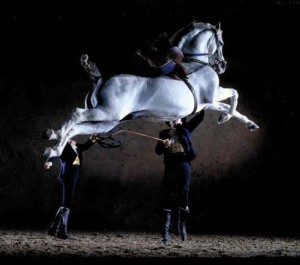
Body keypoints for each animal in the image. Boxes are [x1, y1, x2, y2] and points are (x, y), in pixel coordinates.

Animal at [43, 21, 258, 159]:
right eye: (221, 42)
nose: (222, 65)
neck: (195, 62)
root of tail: (100, 78)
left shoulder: (206, 103)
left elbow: (228, 106)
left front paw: (245, 123)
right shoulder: (213, 95)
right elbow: (234, 94)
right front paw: (226, 117)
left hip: (106, 122)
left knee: (77, 128)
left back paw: (54, 147)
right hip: (105, 112)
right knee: (76, 114)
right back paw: (55, 137)